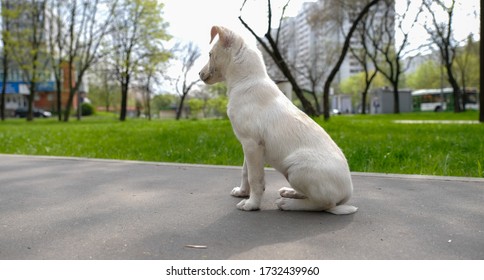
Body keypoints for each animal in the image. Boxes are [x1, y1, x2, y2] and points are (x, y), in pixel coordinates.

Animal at [199, 26, 358, 214]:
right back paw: (291, 193)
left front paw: (252, 204)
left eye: (210, 54)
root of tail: (347, 193)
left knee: (324, 204)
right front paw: (242, 192)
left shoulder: (252, 145)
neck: (246, 81)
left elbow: (255, 178)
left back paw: (289, 204)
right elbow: (245, 172)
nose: (199, 74)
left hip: (296, 168)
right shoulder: (248, 145)